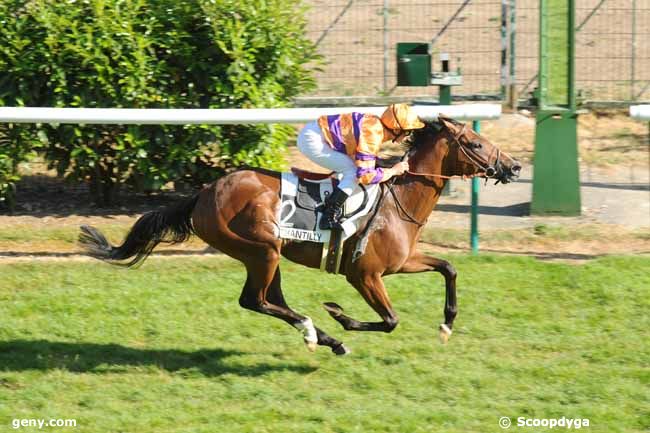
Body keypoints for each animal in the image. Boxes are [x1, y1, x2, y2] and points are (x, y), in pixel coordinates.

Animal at [78, 114, 520, 354]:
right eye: (475, 142)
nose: (514, 166)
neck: (401, 200)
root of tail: (204, 192)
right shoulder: (364, 274)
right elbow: (391, 320)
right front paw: (339, 314)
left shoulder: (401, 262)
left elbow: (448, 267)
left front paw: (447, 324)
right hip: (261, 250)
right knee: (255, 301)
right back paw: (315, 331)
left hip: (267, 254)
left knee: (270, 300)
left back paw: (325, 339)